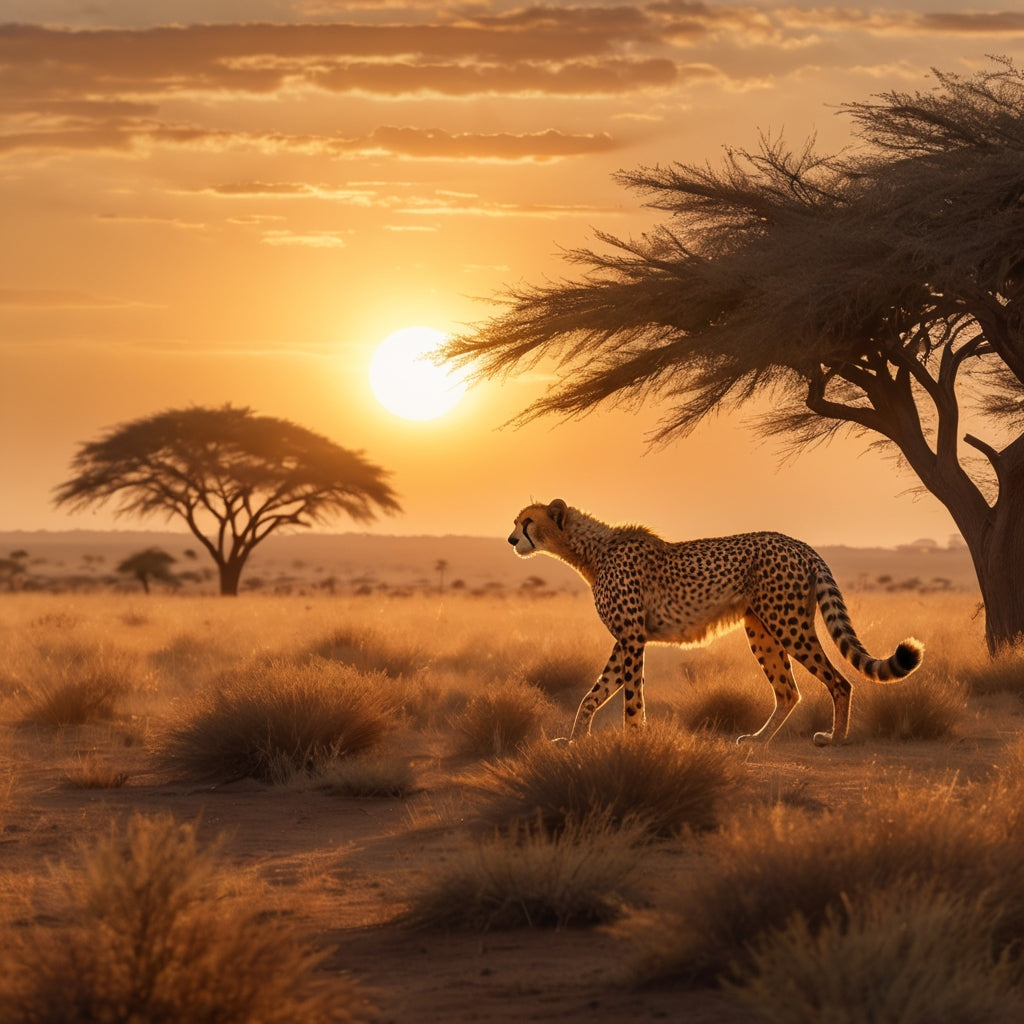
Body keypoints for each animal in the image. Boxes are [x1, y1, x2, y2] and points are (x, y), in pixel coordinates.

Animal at [508, 498, 924, 747]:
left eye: (527, 521)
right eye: (516, 520)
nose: (511, 539)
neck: (591, 551)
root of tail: (798, 543)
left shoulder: (632, 637)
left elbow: (630, 695)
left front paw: (634, 737)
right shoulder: (625, 639)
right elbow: (594, 693)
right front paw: (575, 740)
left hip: (787, 623)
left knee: (839, 681)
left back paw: (835, 738)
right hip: (760, 628)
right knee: (788, 690)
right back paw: (758, 740)